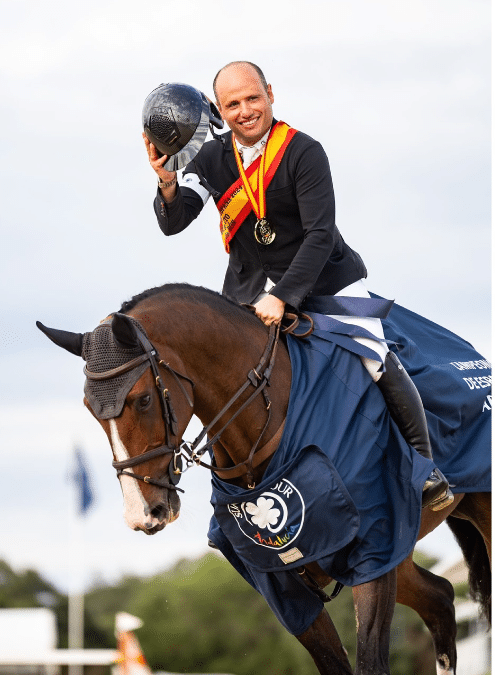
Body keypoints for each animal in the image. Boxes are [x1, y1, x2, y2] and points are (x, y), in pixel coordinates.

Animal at [36, 282, 490, 672]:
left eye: (143, 399)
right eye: (91, 410)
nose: (143, 514)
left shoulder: (375, 550)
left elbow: (370, 662)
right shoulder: (283, 585)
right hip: (402, 551)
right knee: (440, 599)